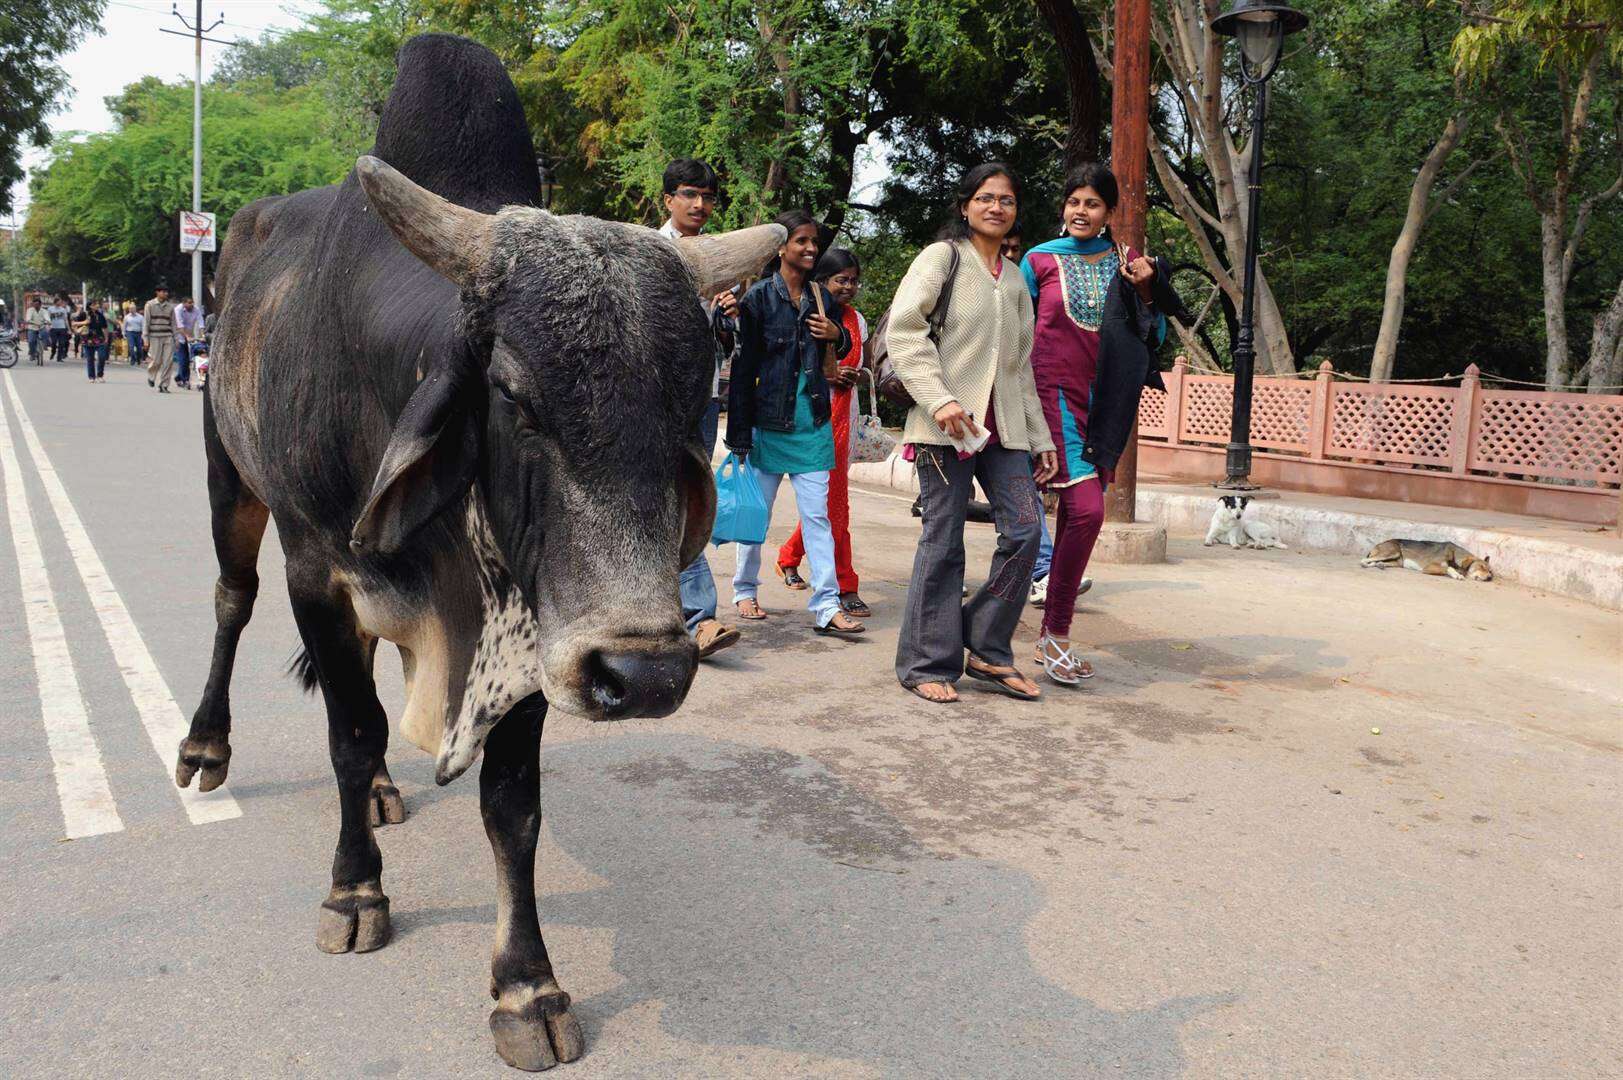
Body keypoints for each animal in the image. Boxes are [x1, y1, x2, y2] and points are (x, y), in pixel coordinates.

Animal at [174, 33, 782, 1071]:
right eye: (514, 394)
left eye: (685, 405)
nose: (647, 674)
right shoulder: (317, 576)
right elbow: (348, 735)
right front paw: (354, 891)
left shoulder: (534, 628)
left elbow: (510, 801)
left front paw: (525, 986)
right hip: (231, 483)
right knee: (230, 600)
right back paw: (207, 745)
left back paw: (386, 791)